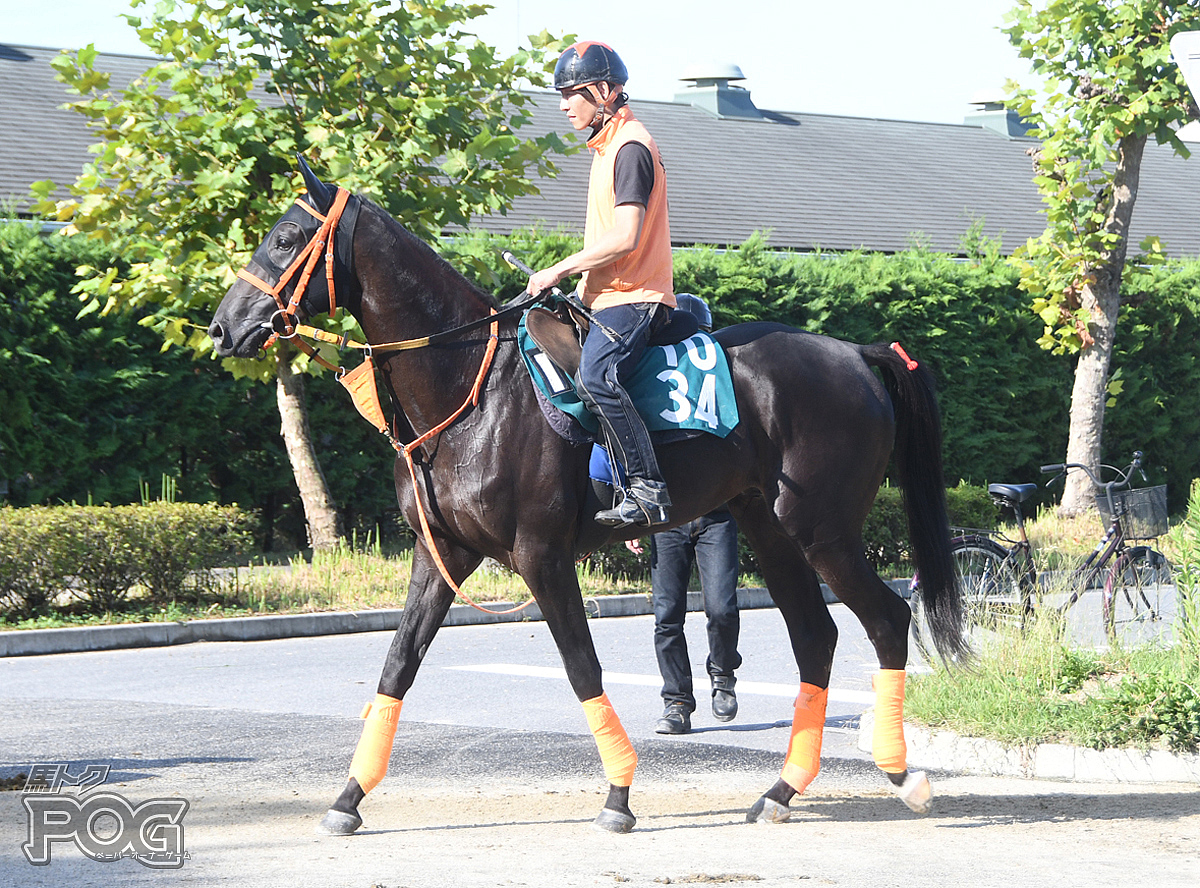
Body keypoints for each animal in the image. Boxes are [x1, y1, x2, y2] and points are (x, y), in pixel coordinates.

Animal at [208, 160, 964, 840]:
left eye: (285, 238)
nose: (221, 327)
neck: (472, 391)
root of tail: (857, 354)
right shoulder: (440, 553)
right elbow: (397, 666)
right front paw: (348, 798)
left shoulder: (542, 557)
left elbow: (581, 667)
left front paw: (619, 795)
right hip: (771, 530)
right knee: (816, 638)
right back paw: (782, 790)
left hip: (822, 531)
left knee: (887, 620)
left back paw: (902, 774)